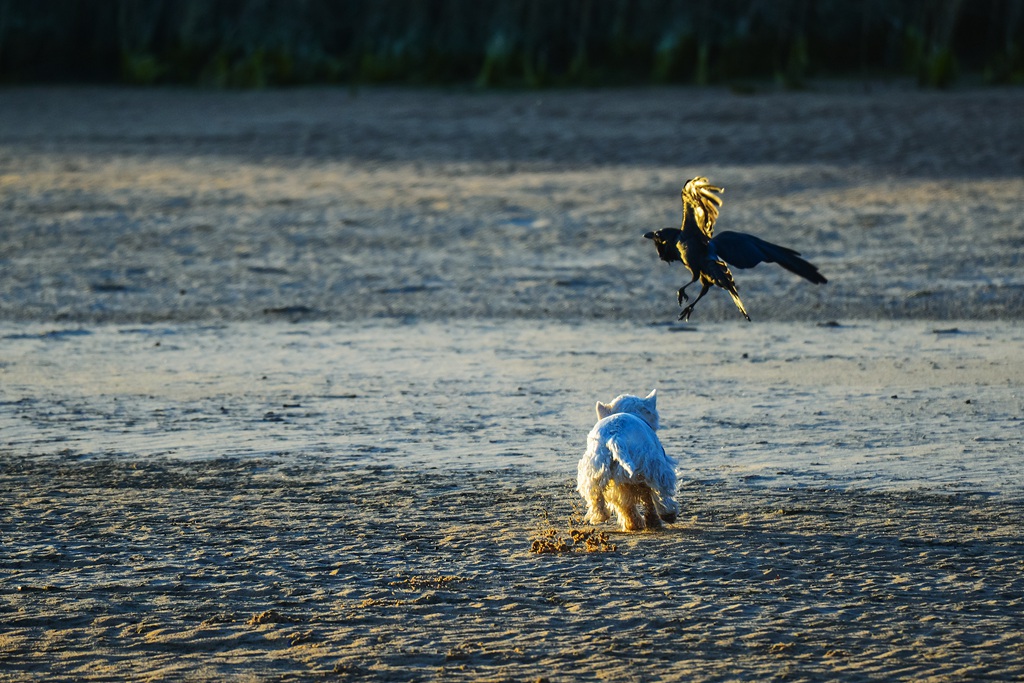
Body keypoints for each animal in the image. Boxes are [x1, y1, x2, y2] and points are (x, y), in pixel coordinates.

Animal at [577, 393, 679, 532]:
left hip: (598, 468)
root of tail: (615, 435)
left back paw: (603, 516)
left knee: (598, 495)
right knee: (661, 490)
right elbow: (650, 498)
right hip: (652, 465)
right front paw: (653, 521)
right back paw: (668, 514)